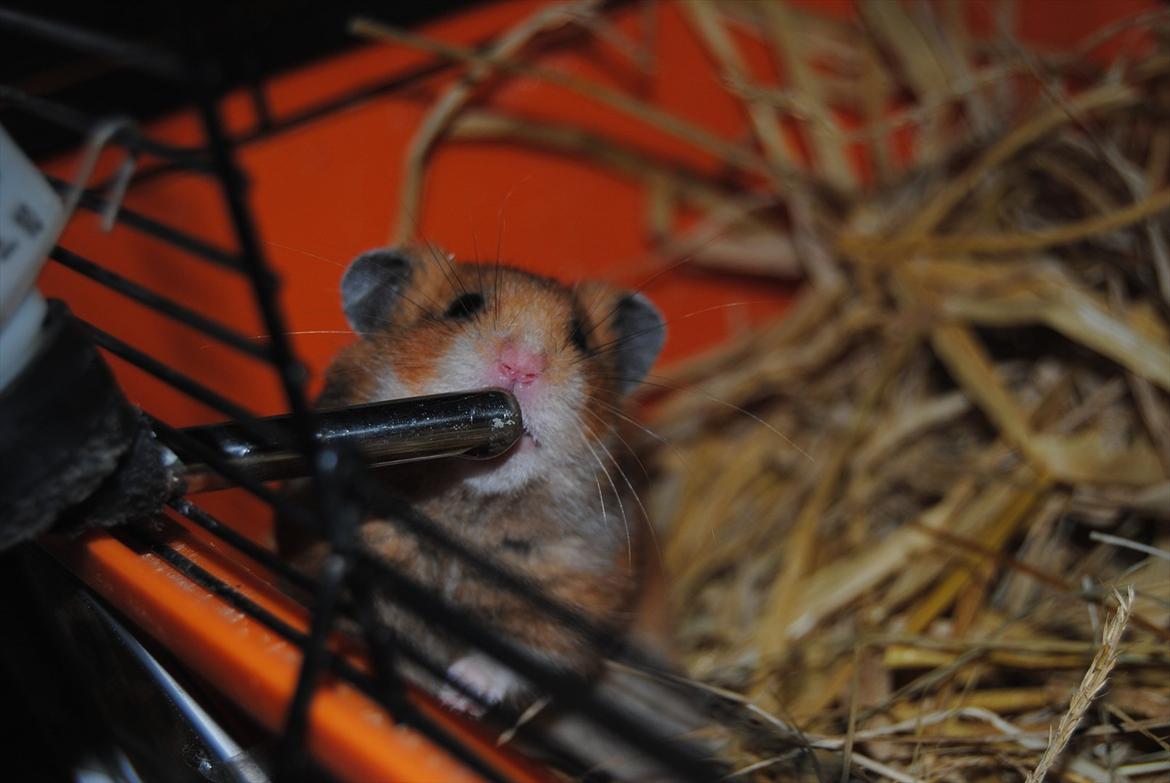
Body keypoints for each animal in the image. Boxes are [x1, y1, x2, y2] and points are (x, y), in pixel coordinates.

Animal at [288, 244, 666, 713]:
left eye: (581, 338)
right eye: (462, 307)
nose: (521, 367)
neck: (467, 513)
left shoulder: (573, 602)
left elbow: (516, 658)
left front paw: (459, 691)